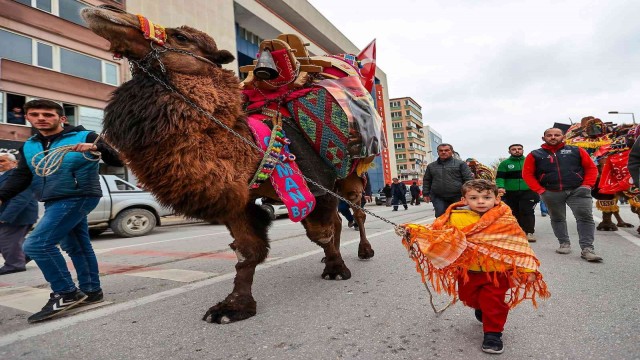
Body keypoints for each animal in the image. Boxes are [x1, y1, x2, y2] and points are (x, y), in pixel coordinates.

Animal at [84, 5, 384, 322]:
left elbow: (322, 232)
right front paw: (233, 307)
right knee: (339, 220)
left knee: (355, 213)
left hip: (353, 176)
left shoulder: (318, 182)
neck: (251, 149)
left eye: (181, 37)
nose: (105, 10)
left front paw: (337, 268)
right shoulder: (238, 198)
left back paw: (363, 251)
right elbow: (247, 251)